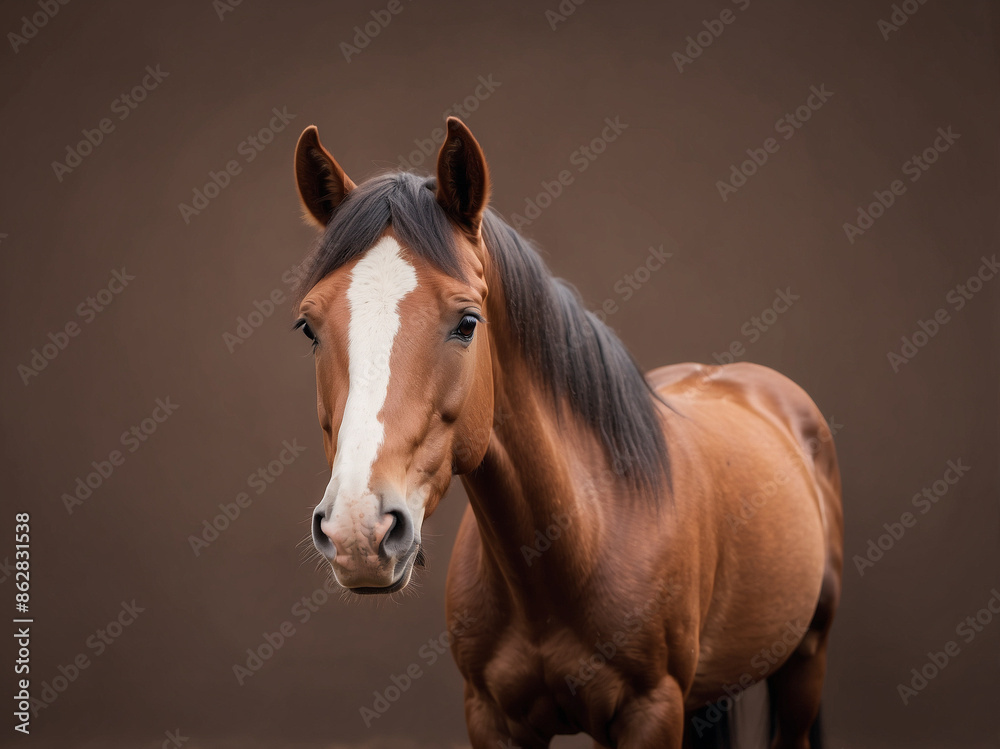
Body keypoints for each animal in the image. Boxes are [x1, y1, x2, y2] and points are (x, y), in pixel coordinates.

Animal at [290, 117, 843, 749]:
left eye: (467, 322)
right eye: (309, 328)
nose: (359, 530)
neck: (580, 541)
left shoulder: (653, 712)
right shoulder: (492, 718)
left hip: (805, 662)